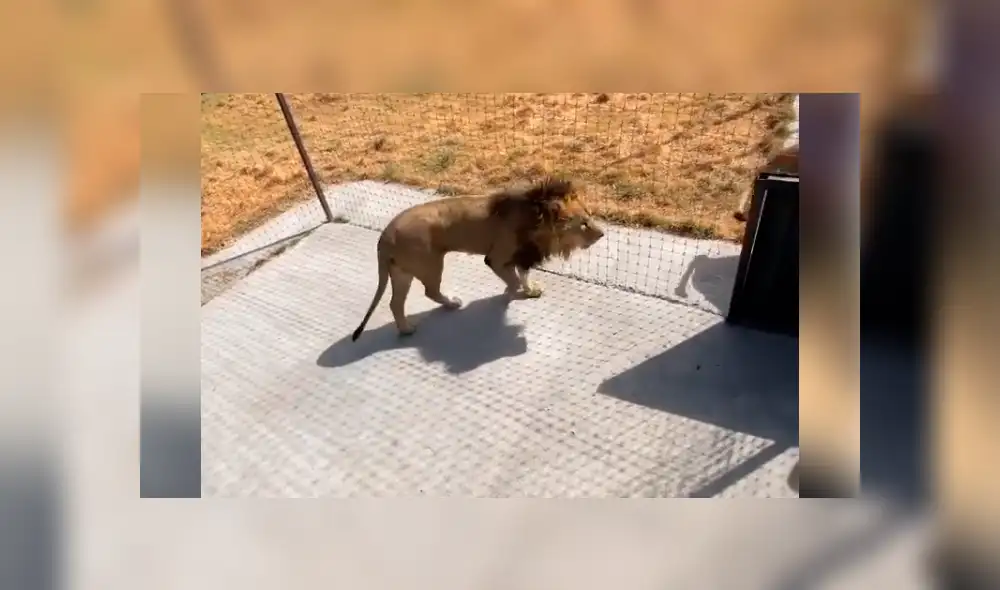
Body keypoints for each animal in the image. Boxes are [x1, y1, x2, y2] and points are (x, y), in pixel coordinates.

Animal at [351, 178, 605, 341]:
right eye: (583, 223)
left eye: (590, 216)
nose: (602, 234)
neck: (537, 221)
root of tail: (385, 236)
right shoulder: (497, 258)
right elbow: (513, 281)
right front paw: (507, 296)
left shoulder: (523, 255)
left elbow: (523, 276)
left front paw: (530, 290)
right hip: (430, 264)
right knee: (430, 291)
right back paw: (452, 304)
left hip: (402, 272)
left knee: (396, 303)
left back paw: (405, 330)